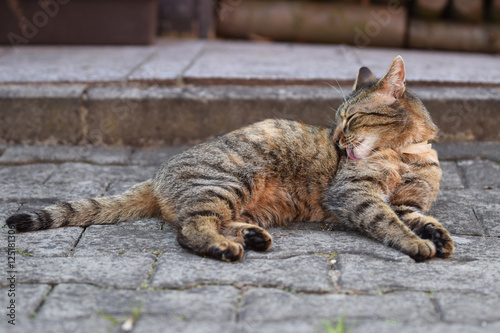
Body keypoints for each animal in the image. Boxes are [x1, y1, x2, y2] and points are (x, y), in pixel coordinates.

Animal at [5, 55, 456, 260]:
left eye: (353, 118)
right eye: (337, 120)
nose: (337, 138)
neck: (408, 153)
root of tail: (158, 174)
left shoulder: (408, 201)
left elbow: (418, 216)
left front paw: (438, 235)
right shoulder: (355, 195)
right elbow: (388, 221)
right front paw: (417, 243)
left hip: (238, 198)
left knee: (205, 221)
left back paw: (250, 237)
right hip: (228, 181)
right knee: (190, 228)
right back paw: (225, 247)